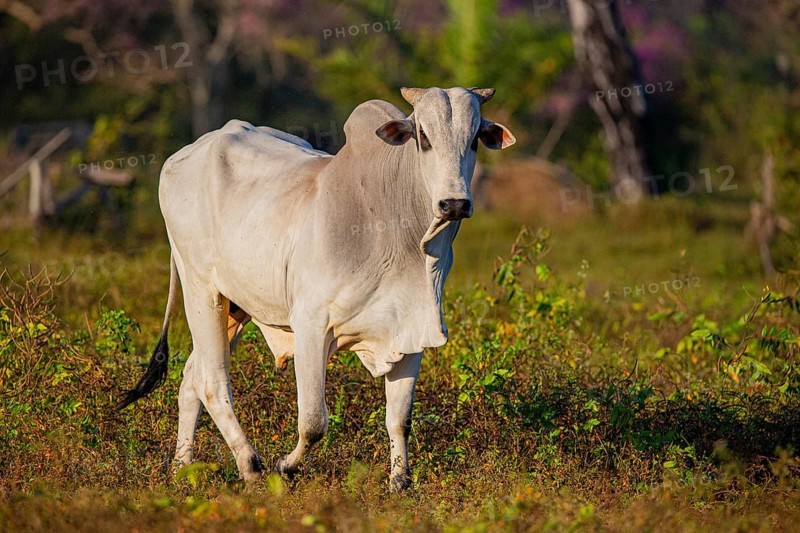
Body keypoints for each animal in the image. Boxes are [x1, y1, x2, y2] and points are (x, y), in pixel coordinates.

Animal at [117, 87, 515, 492]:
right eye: (423, 137)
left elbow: (399, 419)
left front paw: (399, 482)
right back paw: (250, 466)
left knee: (191, 378)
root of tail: (183, 154)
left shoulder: (410, 331)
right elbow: (313, 422)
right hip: (201, 289)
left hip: (235, 306)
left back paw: (181, 468)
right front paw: (285, 466)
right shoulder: (310, 325)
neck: (394, 226)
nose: (454, 203)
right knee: (212, 382)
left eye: (474, 140)